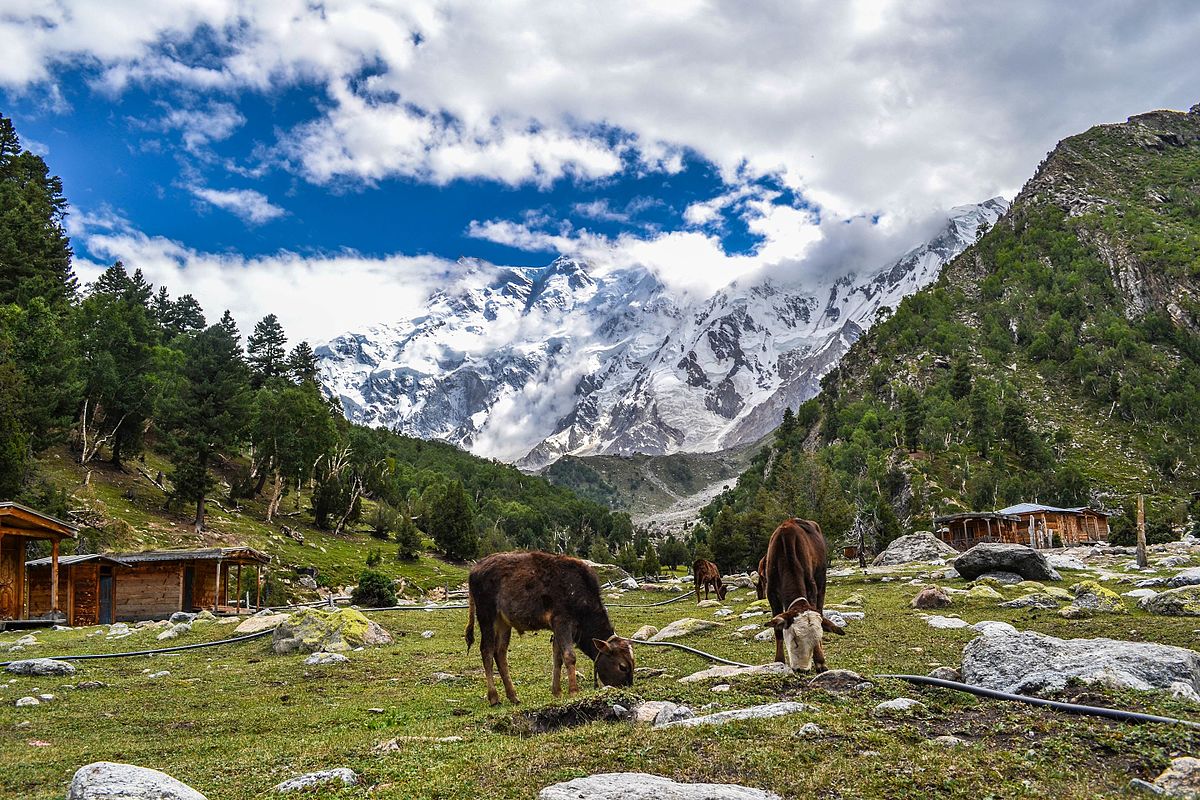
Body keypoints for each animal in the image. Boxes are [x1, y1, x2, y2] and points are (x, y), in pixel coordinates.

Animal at [460, 554, 638, 705]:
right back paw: (494, 697)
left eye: (633, 663)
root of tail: (475, 569)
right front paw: (573, 691)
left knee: (500, 652)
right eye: (622, 666)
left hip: (504, 622)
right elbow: (569, 656)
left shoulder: (558, 627)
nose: (626, 688)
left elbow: (557, 657)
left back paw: (513, 696)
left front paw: (557, 692)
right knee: (487, 650)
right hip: (486, 615)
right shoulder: (562, 621)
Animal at [758, 520, 844, 671]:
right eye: (795, 639)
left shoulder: (811, 587)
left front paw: (820, 661)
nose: (801, 669)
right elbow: (777, 630)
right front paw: (778, 661)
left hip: (821, 581)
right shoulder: (771, 593)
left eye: (817, 637)